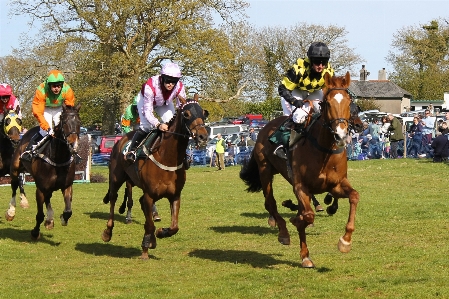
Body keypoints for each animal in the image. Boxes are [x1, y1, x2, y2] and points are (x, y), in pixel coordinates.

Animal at [5, 104, 81, 240]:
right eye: (65, 122)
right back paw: (11, 211)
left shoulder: (67, 186)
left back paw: (50, 219)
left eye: (79, 122)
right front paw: (35, 232)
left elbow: (68, 211)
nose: (74, 144)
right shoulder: (40, 188)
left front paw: (62, 218)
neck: (58, 159)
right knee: (14, 185)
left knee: (48, 197)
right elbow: (39, 215)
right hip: (14, 170)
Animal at [101, 95, 208, 258]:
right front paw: (147, 245)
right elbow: (150, 224)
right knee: (113, 199)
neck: (167, 157)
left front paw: (160, 232)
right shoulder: (149, 195)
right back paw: (108, 231)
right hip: (116, 178)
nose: (203, 136)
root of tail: (121, 140)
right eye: (186, 114)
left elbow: (174, 226)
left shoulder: (175, 195)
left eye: (204, 113)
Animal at [240, 73, 358, 270]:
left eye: (349, 103)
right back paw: (283, 232)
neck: (324, 150)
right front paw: (297, 226)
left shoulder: (335, 185)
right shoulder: (301, 186)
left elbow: (354, 196)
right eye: (327, 103)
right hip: (265, 170)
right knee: (270, 203)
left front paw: (345, 242)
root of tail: (265, 127)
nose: (340, 136)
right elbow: (307, 216)